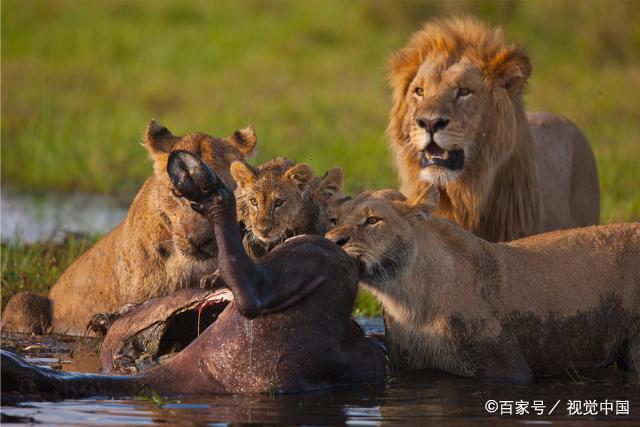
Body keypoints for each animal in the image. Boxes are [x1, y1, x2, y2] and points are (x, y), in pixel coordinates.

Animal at [328, 189, 636, 382]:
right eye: (335, 220)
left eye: (372, 220)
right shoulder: (412, 367)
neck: (410, 301)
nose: (333, 240)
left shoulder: (507, 370)